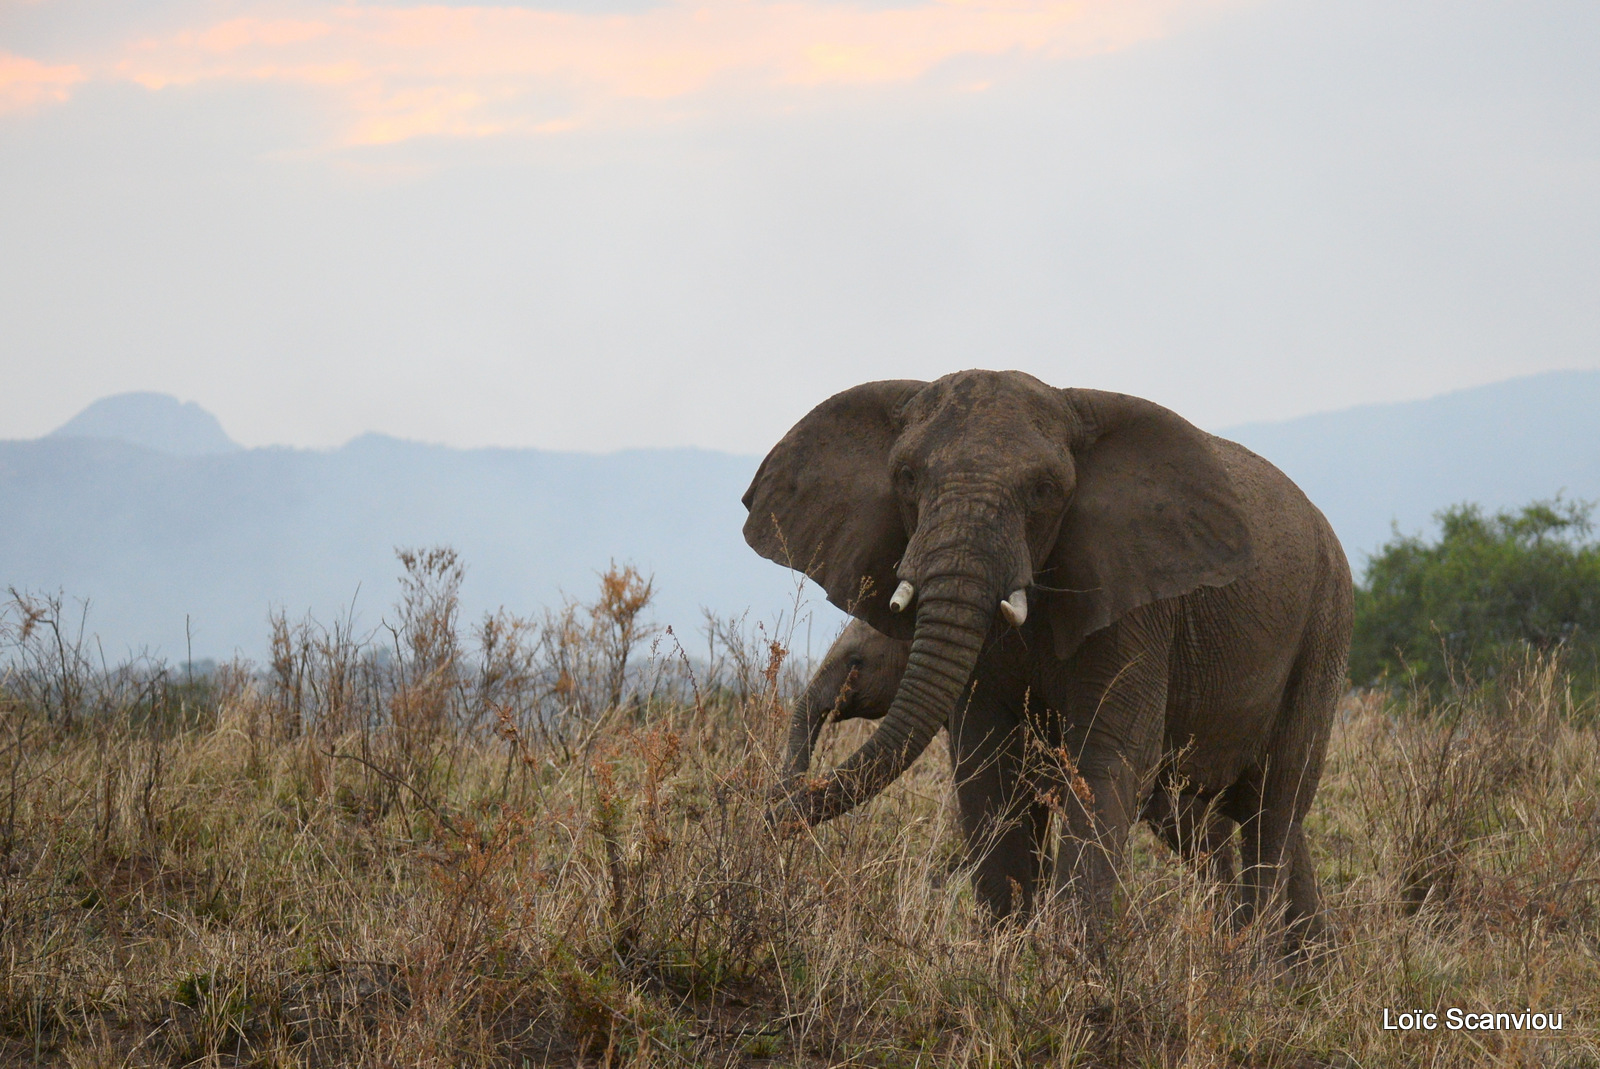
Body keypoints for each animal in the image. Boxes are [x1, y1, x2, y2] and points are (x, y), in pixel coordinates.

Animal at [748, 371, 1350, 947]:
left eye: (1043, 490)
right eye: (907, 478)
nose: (762, 821)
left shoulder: (1138, 605)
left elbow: (1108, 755)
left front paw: (1073, 963)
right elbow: (988, 763)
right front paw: (1007, 956)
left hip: (1324, 628)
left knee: (1275, 804)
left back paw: (1254, 961)